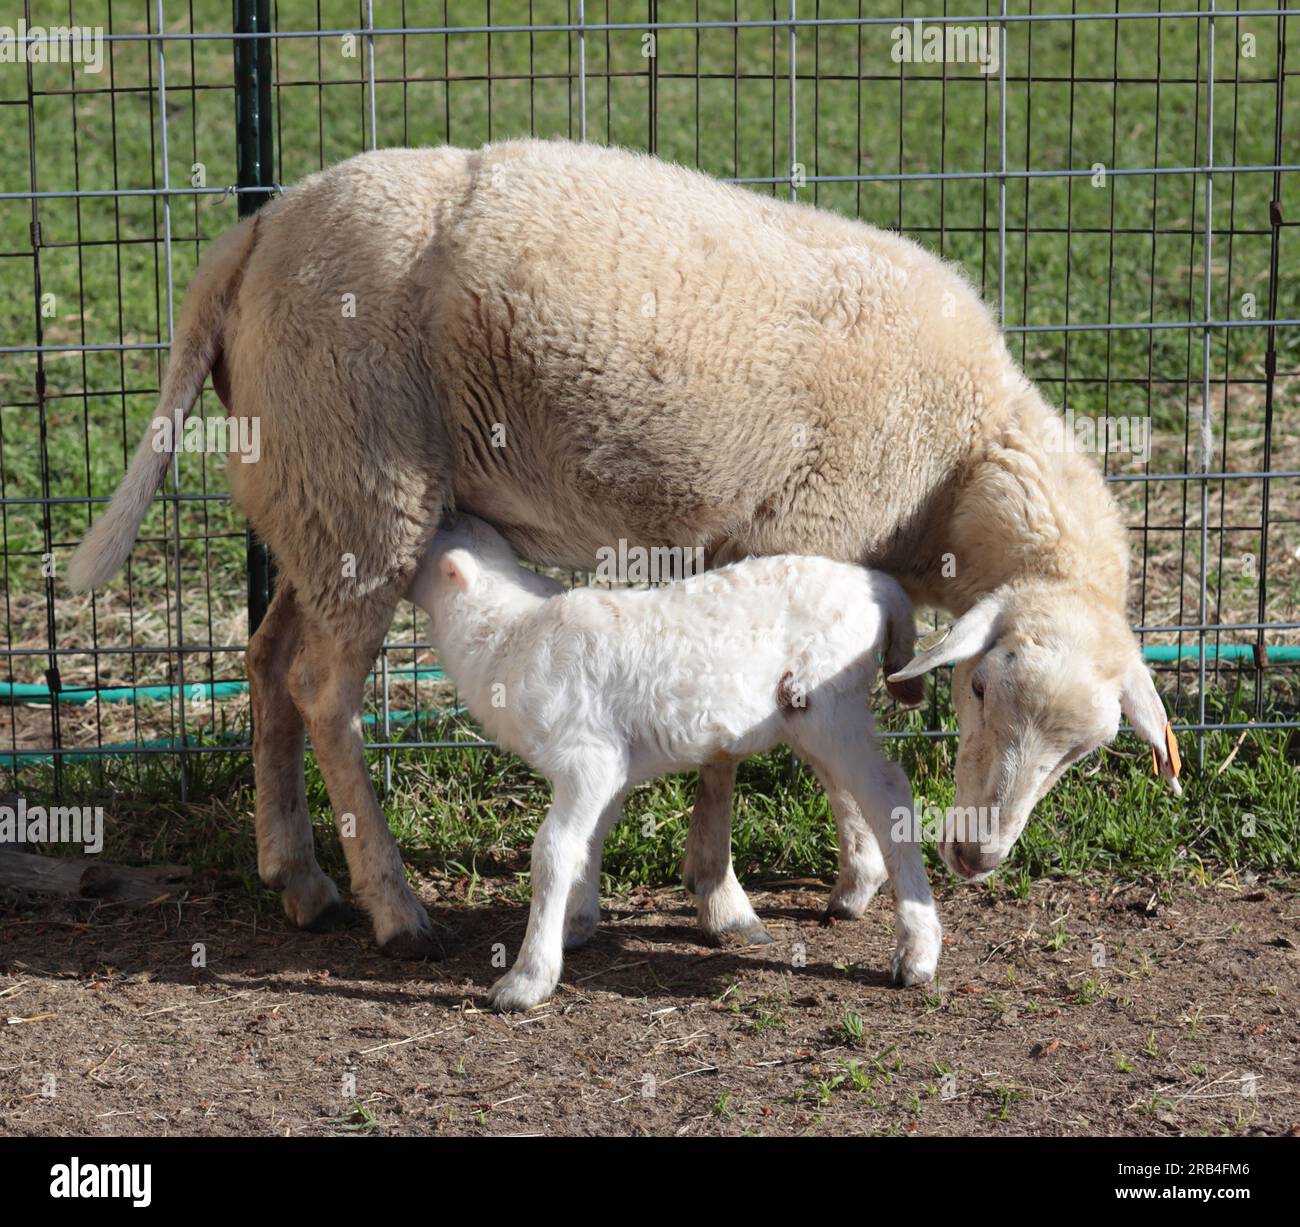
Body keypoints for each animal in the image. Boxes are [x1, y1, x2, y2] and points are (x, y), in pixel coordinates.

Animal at [66, 137, 1180, 958]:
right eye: (981, 688)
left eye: (1086, 753)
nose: (979, 861)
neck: (958, 461)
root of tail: (252, 233)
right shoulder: (797, 543)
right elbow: (763, 742)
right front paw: (765, 888)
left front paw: (781, 881)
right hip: (362, 480)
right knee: (322, 692)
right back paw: (392, 905)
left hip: (314, 499)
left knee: (264, 666)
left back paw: (297, 876)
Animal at [409, 514, 942, 1011]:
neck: (507, 633)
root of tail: (879, 586)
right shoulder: (612, 766)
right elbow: (590, 840)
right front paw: (575, 924)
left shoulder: (588, 756)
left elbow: (554, 851)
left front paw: (526, 979)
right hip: (809, 716)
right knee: (849, 788)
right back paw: (858, 892)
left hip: (828, 699)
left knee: (889, 792)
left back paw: (917, 950)